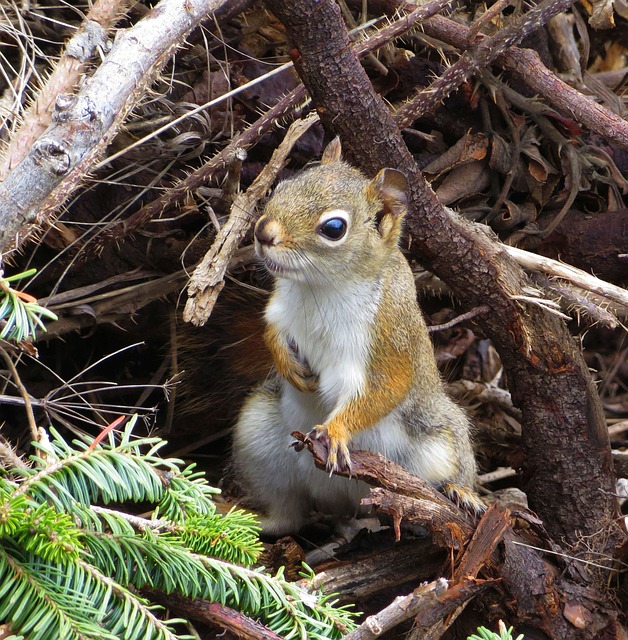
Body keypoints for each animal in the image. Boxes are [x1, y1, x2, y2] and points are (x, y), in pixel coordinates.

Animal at [231, 140, 480, 536]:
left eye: (334, 228)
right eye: (282, 186)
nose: (263, 232)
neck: (320, 288)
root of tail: (343, 501)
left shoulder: (387, 337)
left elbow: (385, 388)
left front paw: (336, 431)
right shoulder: (279, 311)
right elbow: (271, 334)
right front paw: (289, 367)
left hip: (437, 442)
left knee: (453, 465)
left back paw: (461, 492)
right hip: (258, 436)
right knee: (288, 515)